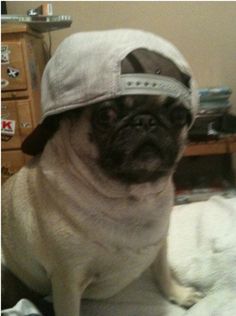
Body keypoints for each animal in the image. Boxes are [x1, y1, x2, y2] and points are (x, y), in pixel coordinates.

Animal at [1, 47, 203, 316]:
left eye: (179, 115)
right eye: (106, 115)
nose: (146, 121)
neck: (131, 197)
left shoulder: (159, 245)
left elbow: (163, 272)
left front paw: (178, 293)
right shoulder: (67, 280)